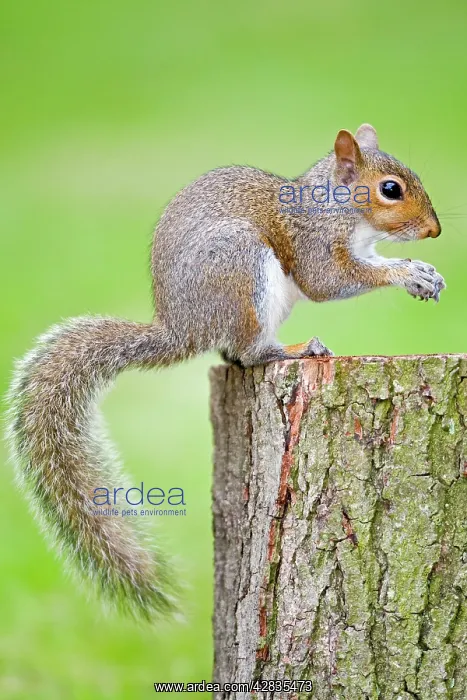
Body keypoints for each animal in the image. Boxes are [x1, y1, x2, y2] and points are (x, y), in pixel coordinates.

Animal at [6, 123, 445, 620]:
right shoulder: (313, 243)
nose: (434, 230)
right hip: (240, 267)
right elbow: (329, 281)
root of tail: (183, 330)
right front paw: (408, 273)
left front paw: (423, 271)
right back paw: (295, 349)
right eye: (390, 189)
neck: (334, 205)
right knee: (248, 354)